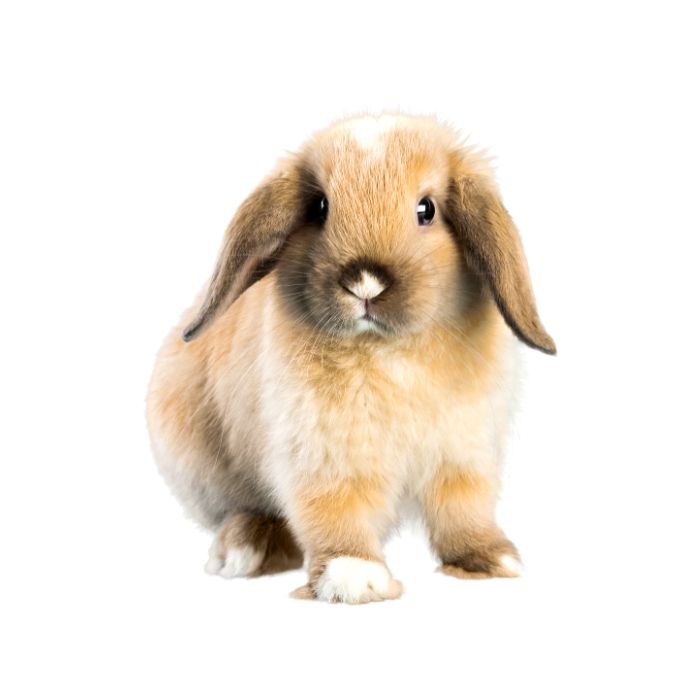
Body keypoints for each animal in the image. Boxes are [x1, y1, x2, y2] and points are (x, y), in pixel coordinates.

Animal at [146, 113, 555, 604]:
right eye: (320, 207)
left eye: (427, 210)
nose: (365, 281)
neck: (388, 349)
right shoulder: (320, 455)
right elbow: (332, 510)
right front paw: (354, 576)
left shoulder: (464, 453)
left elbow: (463, 509)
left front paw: (490, 559)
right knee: (244, 510)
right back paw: (246, 549)